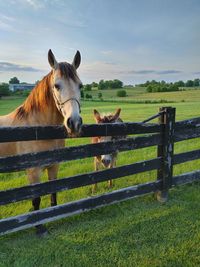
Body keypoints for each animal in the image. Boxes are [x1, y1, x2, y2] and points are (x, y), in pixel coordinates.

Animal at [0, 49, 82, 236]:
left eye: (80, 86)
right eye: (57, 85)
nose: (74, 123)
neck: (37, 128)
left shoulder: (54, 166)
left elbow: (53, 193)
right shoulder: (33, 171)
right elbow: (36, 199)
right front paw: (39, 227)